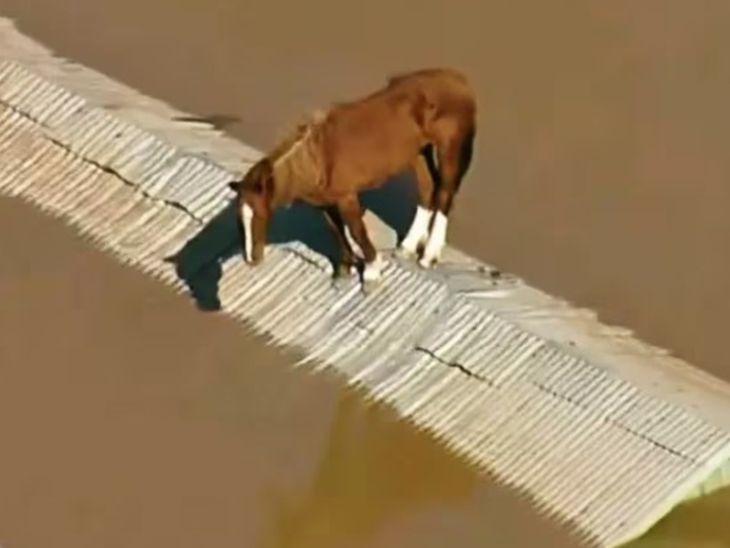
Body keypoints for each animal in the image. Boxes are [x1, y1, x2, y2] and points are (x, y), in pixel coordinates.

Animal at [229, 69, 478, 286]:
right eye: (239, 220)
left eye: (260, 215)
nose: (251, 259)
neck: (318, 159)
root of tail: (459, 80)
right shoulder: (325, 204)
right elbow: (337, 232)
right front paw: (344, 269)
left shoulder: (346, 197)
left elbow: (357, 231)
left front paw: (372, 271)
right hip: (418, 152)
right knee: (428, 189)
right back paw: (408, 245)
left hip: (451, 148)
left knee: (444, 193)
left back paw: (429, 255)